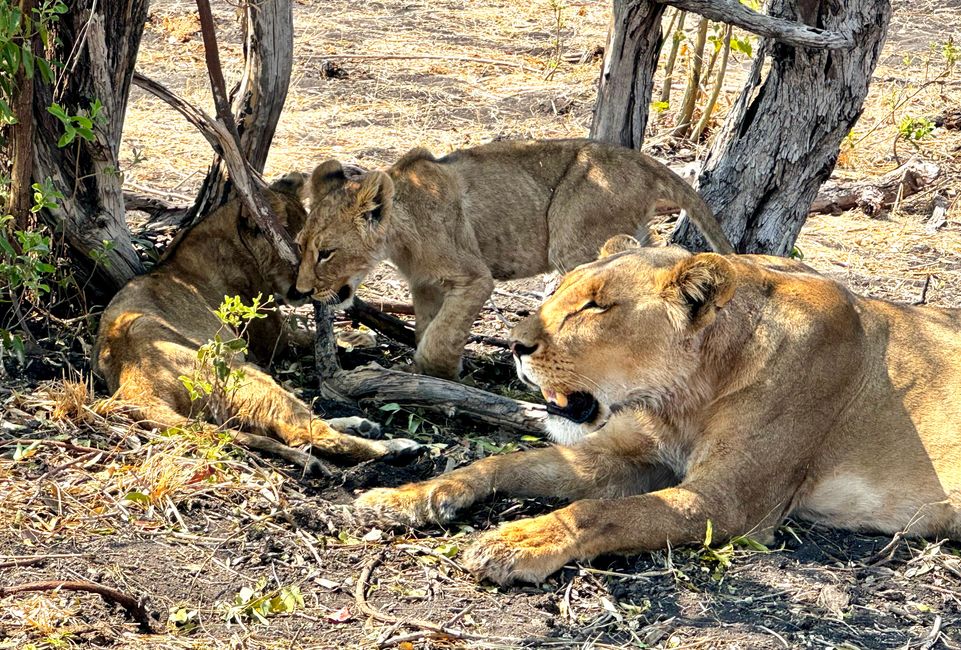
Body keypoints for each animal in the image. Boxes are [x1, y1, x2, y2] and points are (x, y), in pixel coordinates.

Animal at [92, 176, 418, 470]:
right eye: (298, 250)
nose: (309, 288)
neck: (230, 237)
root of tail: (135, 385)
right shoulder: (269, 339)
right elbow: (304, 335)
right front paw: (358, 338)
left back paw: (362, 425)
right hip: (246, 373)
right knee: (305, 432)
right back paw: (395, 447)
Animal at [296, 138, 732, 380]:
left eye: (326, 253)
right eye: (301, 244)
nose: (301, 291)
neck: (399, 234)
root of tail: (643, 161)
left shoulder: (473, 277)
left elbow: (440, 336)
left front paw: (439, 374)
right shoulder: (425, 286)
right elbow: (428, 328)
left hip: (574, 238)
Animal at [356, 237, 960, 584]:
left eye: (596, 306)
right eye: (559, 288)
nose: (514, 344)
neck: (686, 397)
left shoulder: (730, 503)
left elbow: (600, 512)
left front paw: (517, 542)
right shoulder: (636, 455)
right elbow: (502, 463)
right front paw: (402, 496)